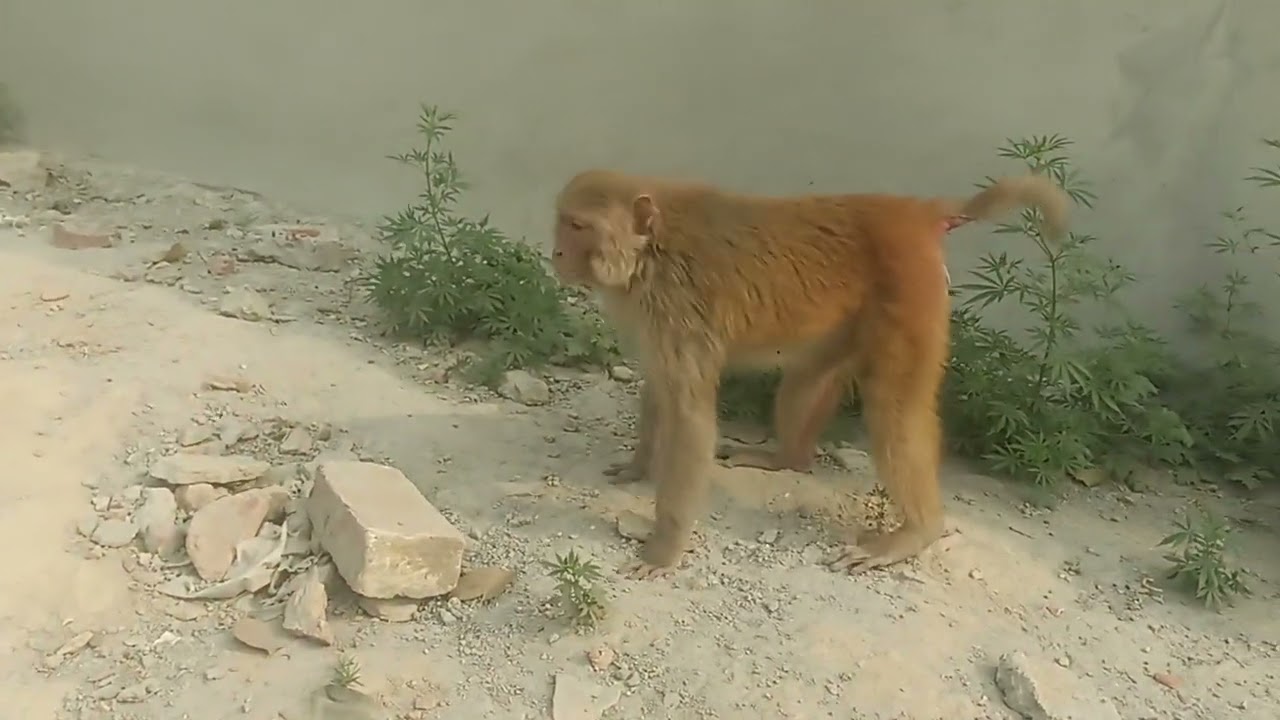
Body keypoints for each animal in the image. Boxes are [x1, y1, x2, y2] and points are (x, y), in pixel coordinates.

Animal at [552, 169, 1068, 580]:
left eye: (577, 226)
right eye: (561, 220)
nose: (555, 253)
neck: (652, 251)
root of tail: (914, 212)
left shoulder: (677, 307)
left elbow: (690, 419)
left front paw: (664, 551)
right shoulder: (656, 319)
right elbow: (661, 387)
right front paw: (638, 466)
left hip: (910, 292)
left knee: (894, 414)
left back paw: (917, 531)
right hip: (843, 323)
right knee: (804, 382)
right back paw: (787, 458)